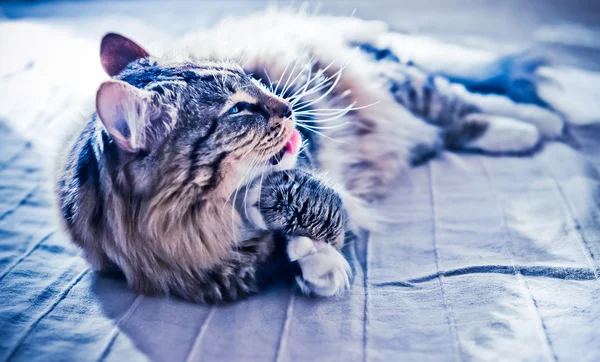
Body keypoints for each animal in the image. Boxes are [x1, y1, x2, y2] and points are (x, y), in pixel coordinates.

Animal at [55, 10, 564, 302]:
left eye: (253, 80)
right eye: (239, 109)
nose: (286, 106)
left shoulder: (303, 164)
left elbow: (315, 208)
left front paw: (320, 262)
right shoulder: (220, 276)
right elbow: (280, 248)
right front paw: (312, 264)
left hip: (393, 84)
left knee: (459, 100)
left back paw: (537, 124)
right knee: (444, 127)